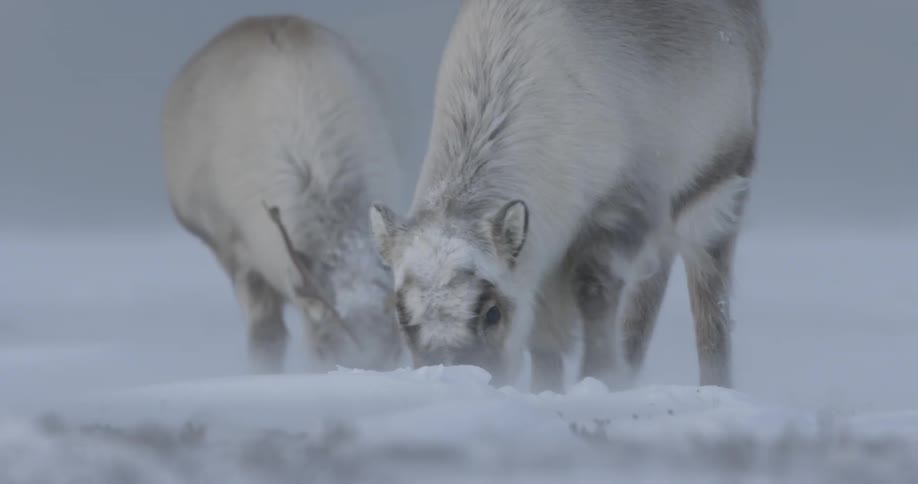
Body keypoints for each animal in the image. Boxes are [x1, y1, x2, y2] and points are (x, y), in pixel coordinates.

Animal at [369, 0, 767, 391]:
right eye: (401, 316)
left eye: (492, 313)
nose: (460, 376)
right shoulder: (542, 247)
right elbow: (543, 336)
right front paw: (547, 390)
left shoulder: (623, 209)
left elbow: (594, 292)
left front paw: (600, 376)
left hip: (718, 190)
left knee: (710, 296)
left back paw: (715, 384)